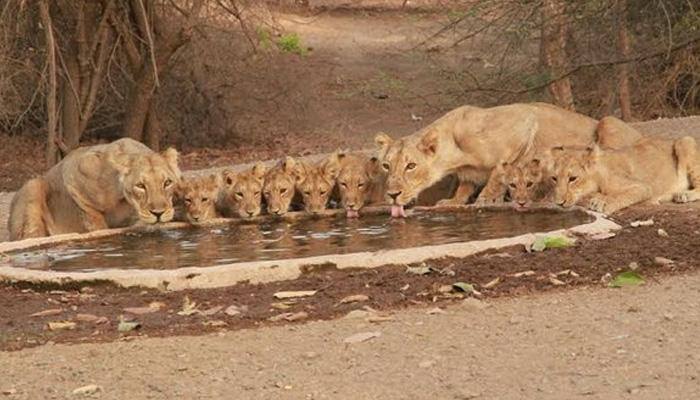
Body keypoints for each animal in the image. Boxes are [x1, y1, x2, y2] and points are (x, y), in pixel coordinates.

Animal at [8, 138, 180, 241]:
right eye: (140, 186)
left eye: (167, 183)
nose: (158, 213)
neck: (125, 202)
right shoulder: (75, 172)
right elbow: (95, 221)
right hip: (33, 185)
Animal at [556, 137, 696, 214]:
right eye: (554, 178)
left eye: (572, 178)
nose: (558, 203)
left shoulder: (643, 187)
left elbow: (620, 195)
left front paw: (603, 203)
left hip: (685, 141)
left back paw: (683, 195)